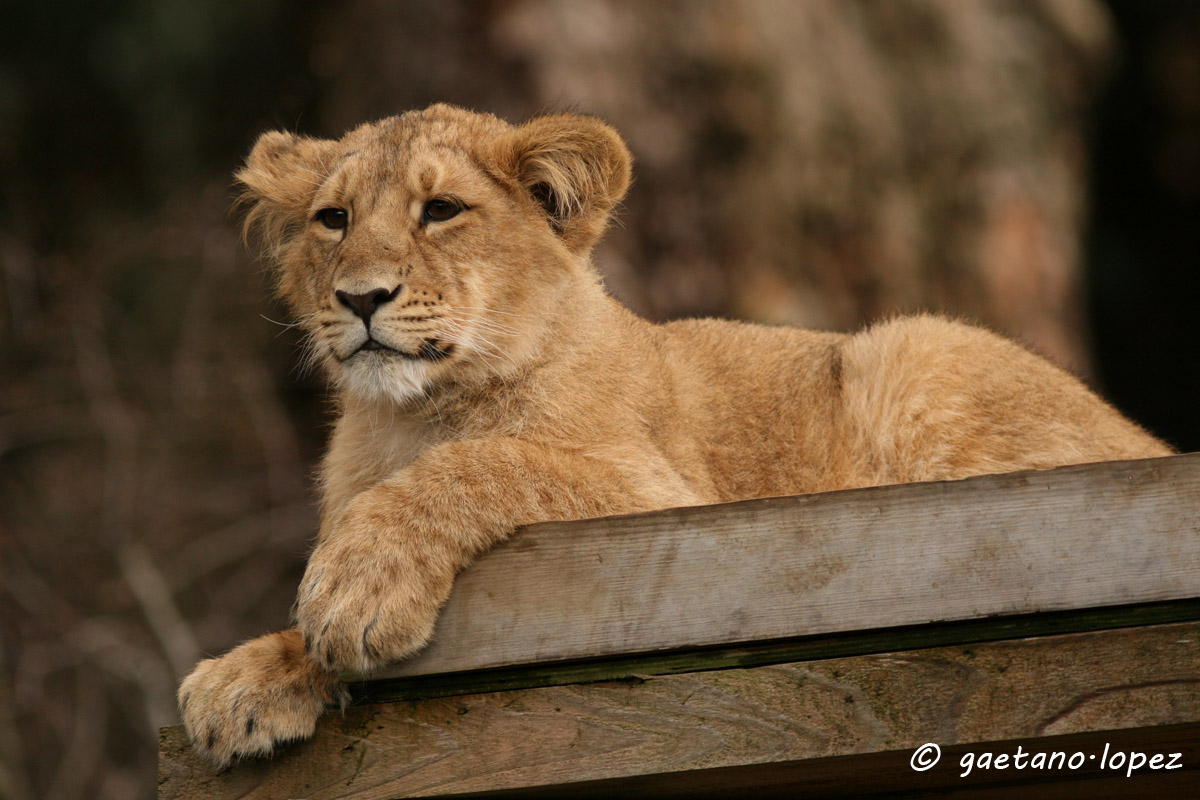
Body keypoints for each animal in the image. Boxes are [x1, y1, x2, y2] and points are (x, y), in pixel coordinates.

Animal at [178, 104, 1171, 767]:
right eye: (333, 220)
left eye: (441, 212)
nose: (360, 297)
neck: (411, 413)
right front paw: (246, 676)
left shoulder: (661, 496)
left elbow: (492, 460)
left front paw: (357, 591)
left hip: (910, 346)